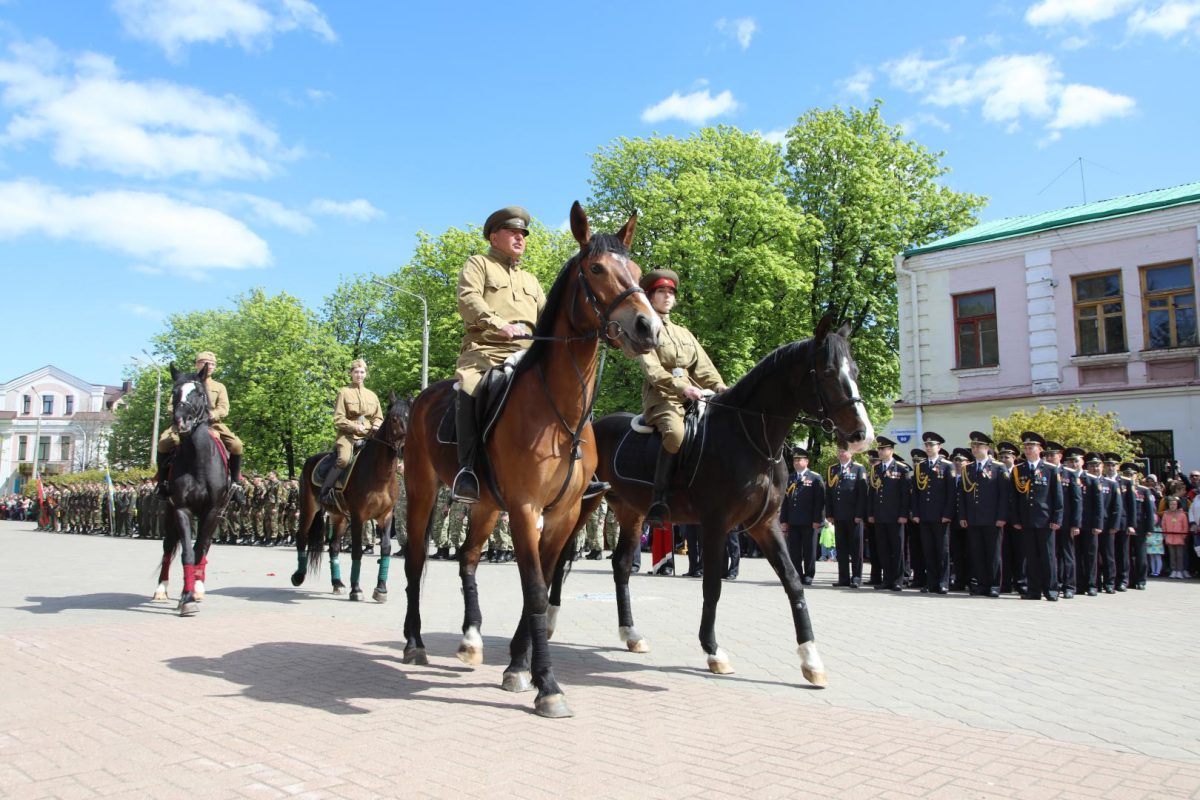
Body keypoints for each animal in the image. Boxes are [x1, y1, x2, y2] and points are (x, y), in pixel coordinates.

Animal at [152, 359, 231, 618]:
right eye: (174, 392)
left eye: (198, 393)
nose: (181, 421)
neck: (199, 460)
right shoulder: (181, 509)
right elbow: (186, 551)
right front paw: (185, 598)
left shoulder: (213, 510)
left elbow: (198, 550)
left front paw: (193, 591)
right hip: (168, 513)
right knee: (168, 547)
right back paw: (161, 589)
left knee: (204, 547)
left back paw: (199, 585)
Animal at [291, 393, 412, 599]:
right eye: (394, 419)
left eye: (410, 418)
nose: (404, 449)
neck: (380, 474)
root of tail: (310, 460)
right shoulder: (358, 517)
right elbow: (356, 551)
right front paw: (356, 589)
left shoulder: (386, 516)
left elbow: (386, 549)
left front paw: (381, 588)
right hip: (309, 508)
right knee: (302, 536)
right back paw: (299, 576)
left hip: (338, 517)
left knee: (333, 547)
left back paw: (337, 583)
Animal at [403, 200, 667, 719]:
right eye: (597, 268)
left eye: (637, 271)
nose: (649, 327)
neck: (559, 413)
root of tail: (422, 397)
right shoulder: (526, 510)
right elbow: (537, 592)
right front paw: (547, 685)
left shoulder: (561, 514)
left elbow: (539, 589)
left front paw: (519, 667)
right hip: (424, 494)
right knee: (414, 561)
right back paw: (415, 641)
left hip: (486, 505)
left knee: (467, 559)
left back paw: (470, 639)